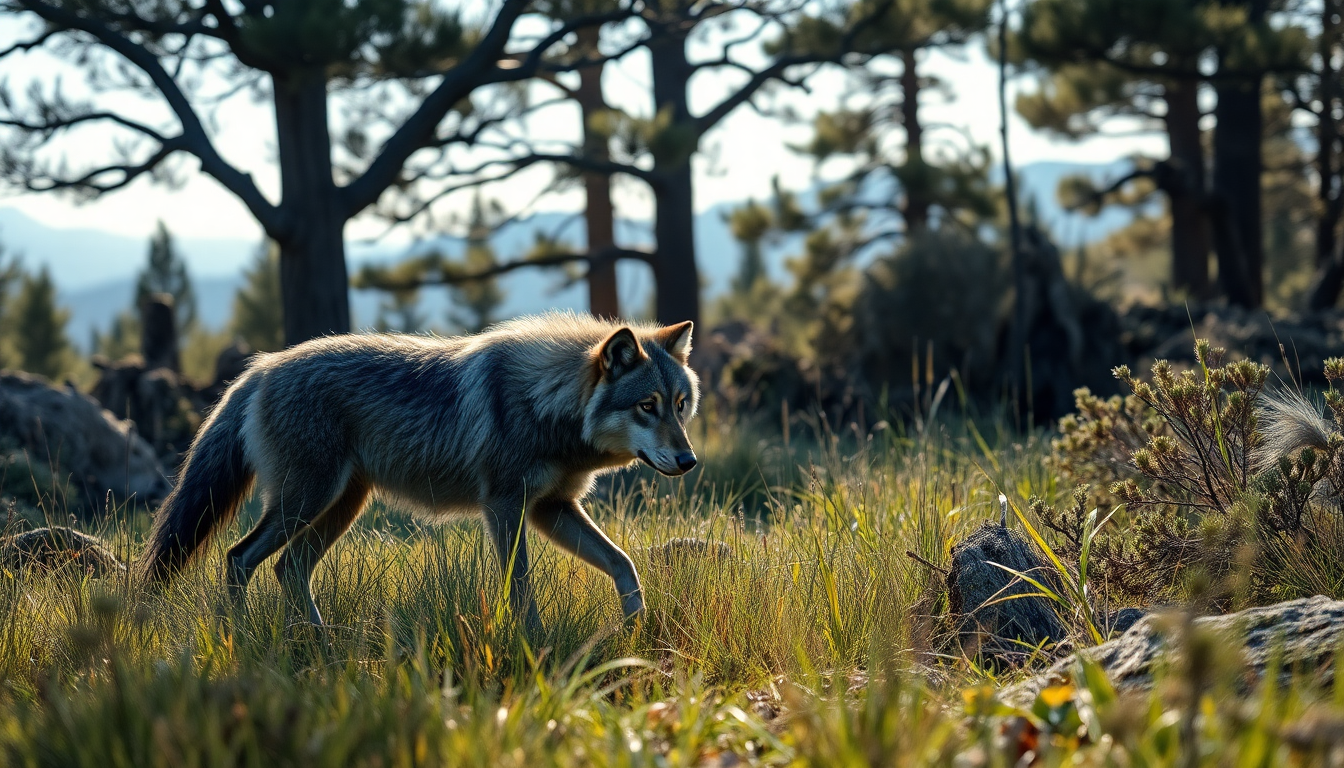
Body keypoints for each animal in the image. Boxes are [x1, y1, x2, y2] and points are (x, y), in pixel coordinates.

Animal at [136, 313, 700, 627]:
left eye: (679, 405)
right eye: (646, 406)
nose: (689, 460)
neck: (547, 403)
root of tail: (259, 368)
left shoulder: (551, 509)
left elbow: (624, 566)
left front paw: (637, 632)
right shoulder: (506, 507)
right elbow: (520, 591)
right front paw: (534, 647)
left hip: (339, 506)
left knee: (287, 568)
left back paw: (320, 643)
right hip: (305, 502)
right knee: (238, 558)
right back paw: (242, 637)